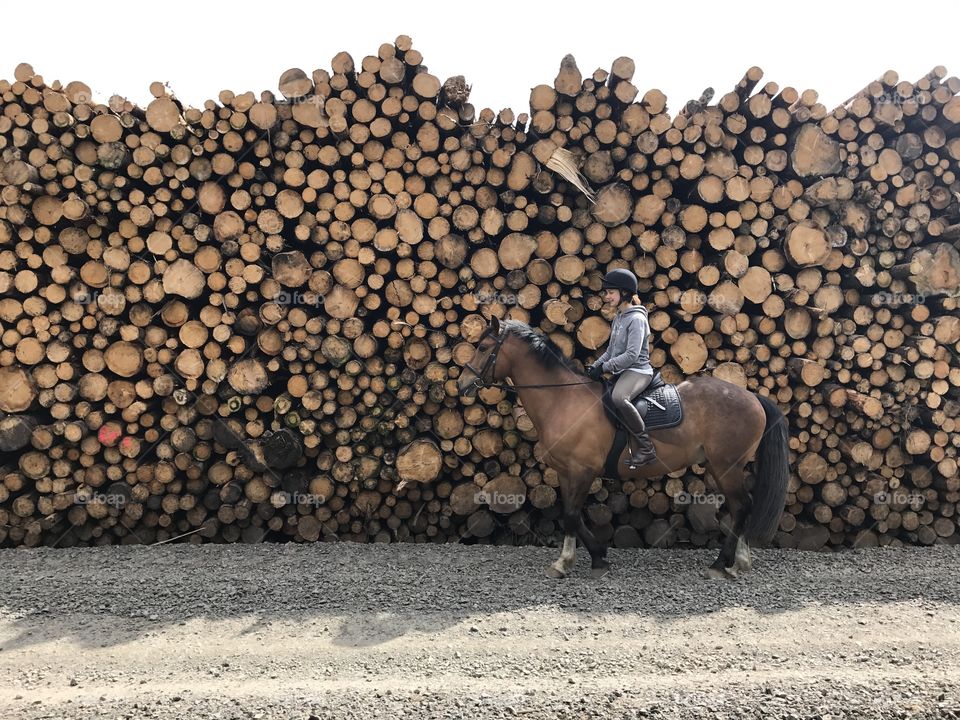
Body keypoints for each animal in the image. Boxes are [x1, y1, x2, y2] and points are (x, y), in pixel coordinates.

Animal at [458, 318, 788, 584]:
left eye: (484, 346)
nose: (463, 385)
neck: (563, 399)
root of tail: (753, 397)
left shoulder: (582, 471)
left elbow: (571, 515)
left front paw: (577, 561)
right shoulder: (566, 472)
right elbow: (571, 516)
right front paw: (589, 556)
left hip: (726, 466)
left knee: (741, 506)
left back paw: (723, 565)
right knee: (741, 506)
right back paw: (739, 563)